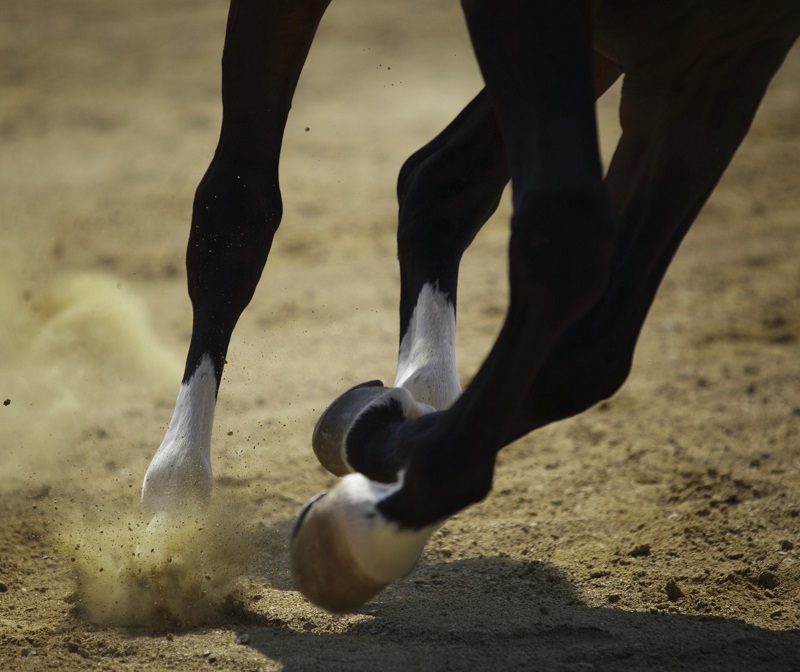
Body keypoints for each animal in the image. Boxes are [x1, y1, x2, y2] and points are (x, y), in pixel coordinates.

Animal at [139, 0, 800, 612]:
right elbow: (565, 241)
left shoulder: (722, 57)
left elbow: (589, 354)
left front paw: (380, 471)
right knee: (237, 209)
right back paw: (175, 510)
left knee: (438, 179)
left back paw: (414, 396)